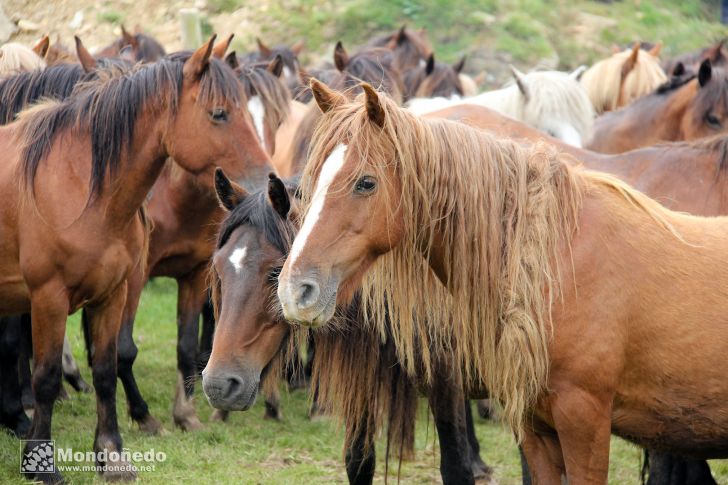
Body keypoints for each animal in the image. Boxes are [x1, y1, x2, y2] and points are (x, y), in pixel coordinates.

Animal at [0, 36, 270, 480]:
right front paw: (42, 463)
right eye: (219, 113)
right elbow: (46, 377)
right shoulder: (49, 298)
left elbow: (107, 370)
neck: (81, 187)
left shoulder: (112, 293)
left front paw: (111, 456)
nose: (269, 181)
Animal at [202, 172, 492, 482]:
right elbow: (359, 462)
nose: (219, 384)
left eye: (275, 272)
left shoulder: (446, 378)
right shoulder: (360, 382)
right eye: (218, 268)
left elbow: (456, 466)